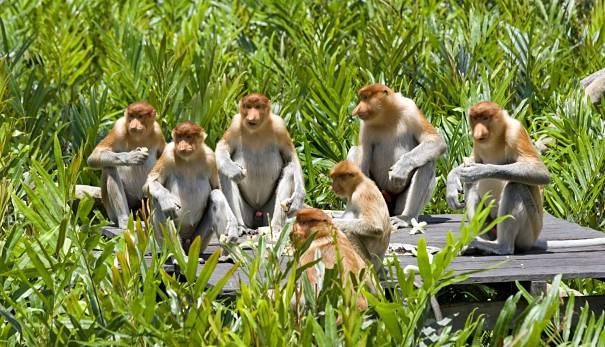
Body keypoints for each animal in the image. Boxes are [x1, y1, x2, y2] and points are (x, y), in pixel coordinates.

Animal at [86, 102, 164, 230]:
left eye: (140, 116)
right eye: (131, 116)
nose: (134, 125)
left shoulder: (158, 131)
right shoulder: (119, 128)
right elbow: (94, 157)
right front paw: (131, 157)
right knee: (109, 168)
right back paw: (125, 221)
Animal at [145, 122, 241, 260]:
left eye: (188, 137)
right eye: (179, 137)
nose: (182, 145)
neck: (189, 159)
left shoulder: (210, 156)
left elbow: (217, 188)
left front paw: (233, 228)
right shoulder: (167, 154)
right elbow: (151, 182)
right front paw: (167, 200)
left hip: (198, 240)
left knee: (216, 196)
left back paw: (226, 255)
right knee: (159, 203)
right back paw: (179, 257)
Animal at [215, 92, 304, 234]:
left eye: (257, 107)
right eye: (248, 106)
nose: (251, 117)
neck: (257, 130)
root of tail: (257, 210)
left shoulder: (280, 126)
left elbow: (292, 158)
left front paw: (298, 198)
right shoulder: (235, 124)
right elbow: (221, 148)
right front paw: (235, 171)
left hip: (268, 211)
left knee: (289, 170)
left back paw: (275, 227)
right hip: (247, 212)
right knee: (224, 174)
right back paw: (241, 227)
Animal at [346, 83, 446, 230]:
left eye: (365, 98)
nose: (356, 110)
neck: (387, 115)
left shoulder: (411, 109)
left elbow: (435, 140)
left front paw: (401, 169)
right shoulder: (365, 125)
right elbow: (364, 156)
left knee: (428, 163)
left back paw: (406, 218)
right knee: (354, 150)